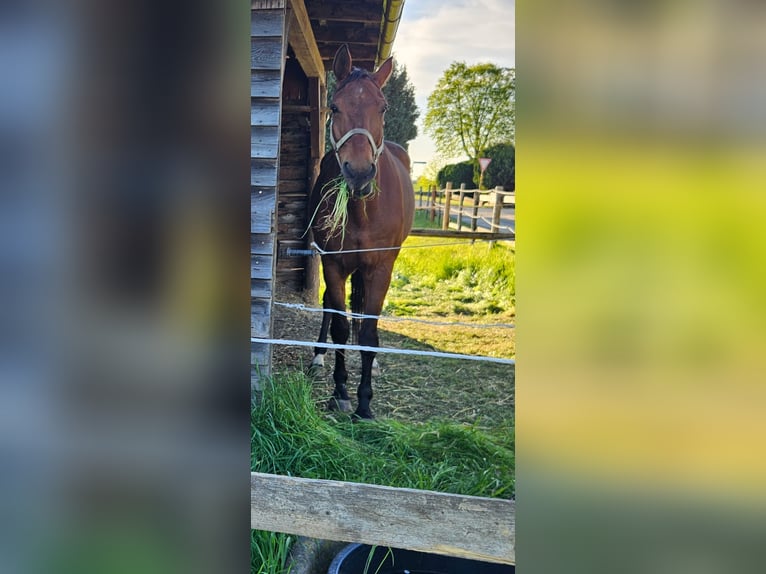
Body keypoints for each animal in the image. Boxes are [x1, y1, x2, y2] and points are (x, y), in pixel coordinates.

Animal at [307, 45, 415, 420]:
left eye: (382, 108)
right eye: (335, 106)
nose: (358, 174)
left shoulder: (380, 267)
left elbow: (368, 332)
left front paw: (365, 404)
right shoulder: (333, 263)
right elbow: (341, 324)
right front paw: (341, 392)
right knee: (331, 307)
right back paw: (318, 355)